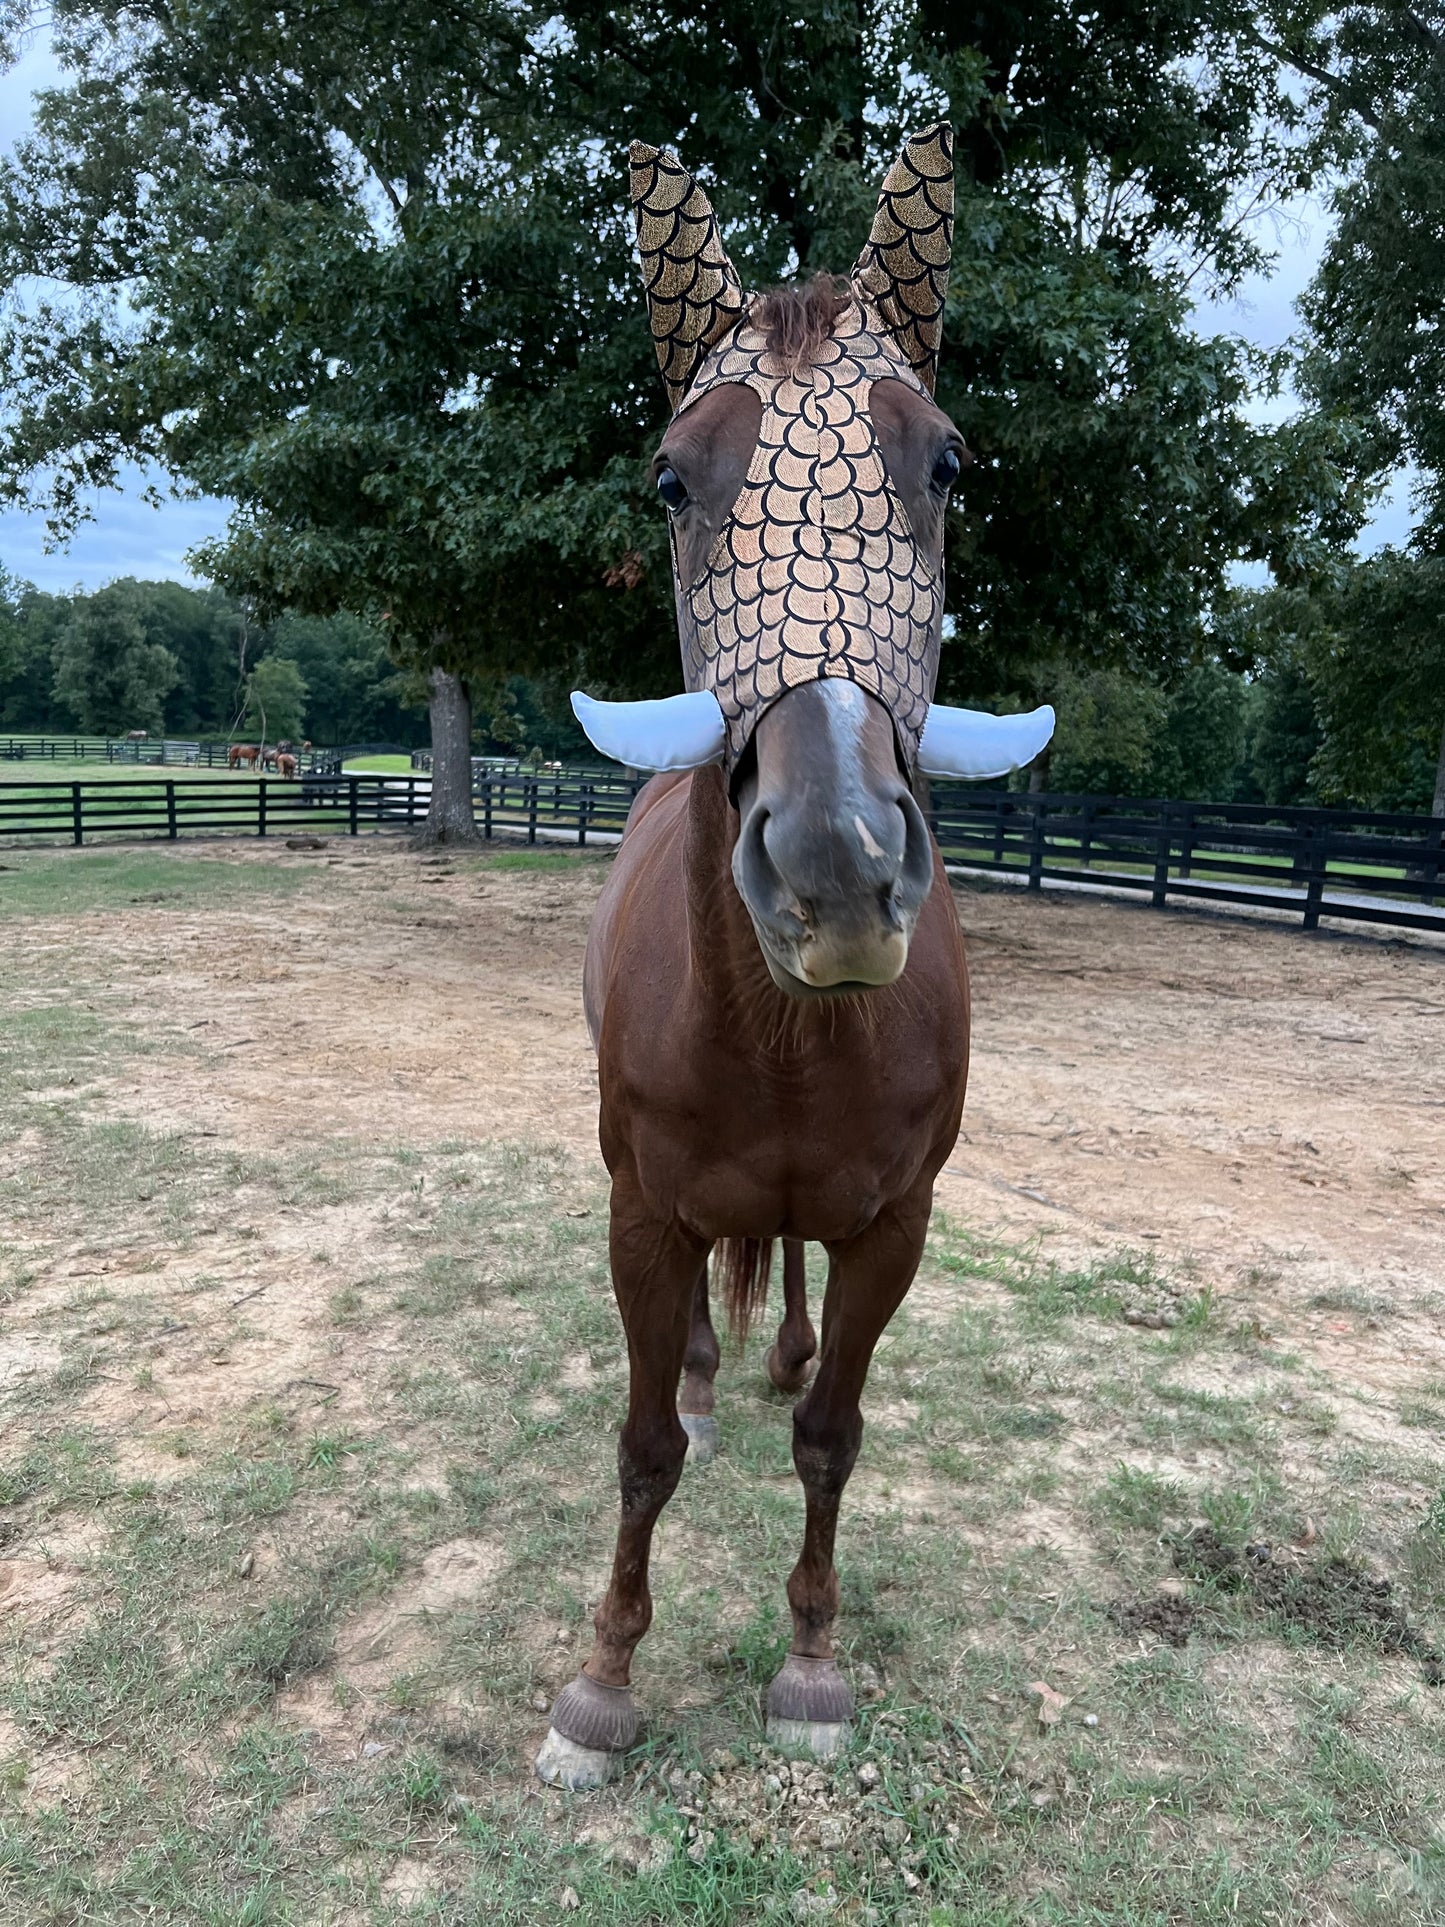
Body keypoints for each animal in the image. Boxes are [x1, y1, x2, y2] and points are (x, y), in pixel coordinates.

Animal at [535, 127, 1054, 1791]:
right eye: (670, 479)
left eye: (942, 463)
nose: (836, 873)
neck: (778, 1034)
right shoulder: (639, 1211)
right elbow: (643, 1444)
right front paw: (601, 1680)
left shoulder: (898, 1221)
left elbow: (835, 1427)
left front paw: (813, 1661)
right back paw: (716, 1370)